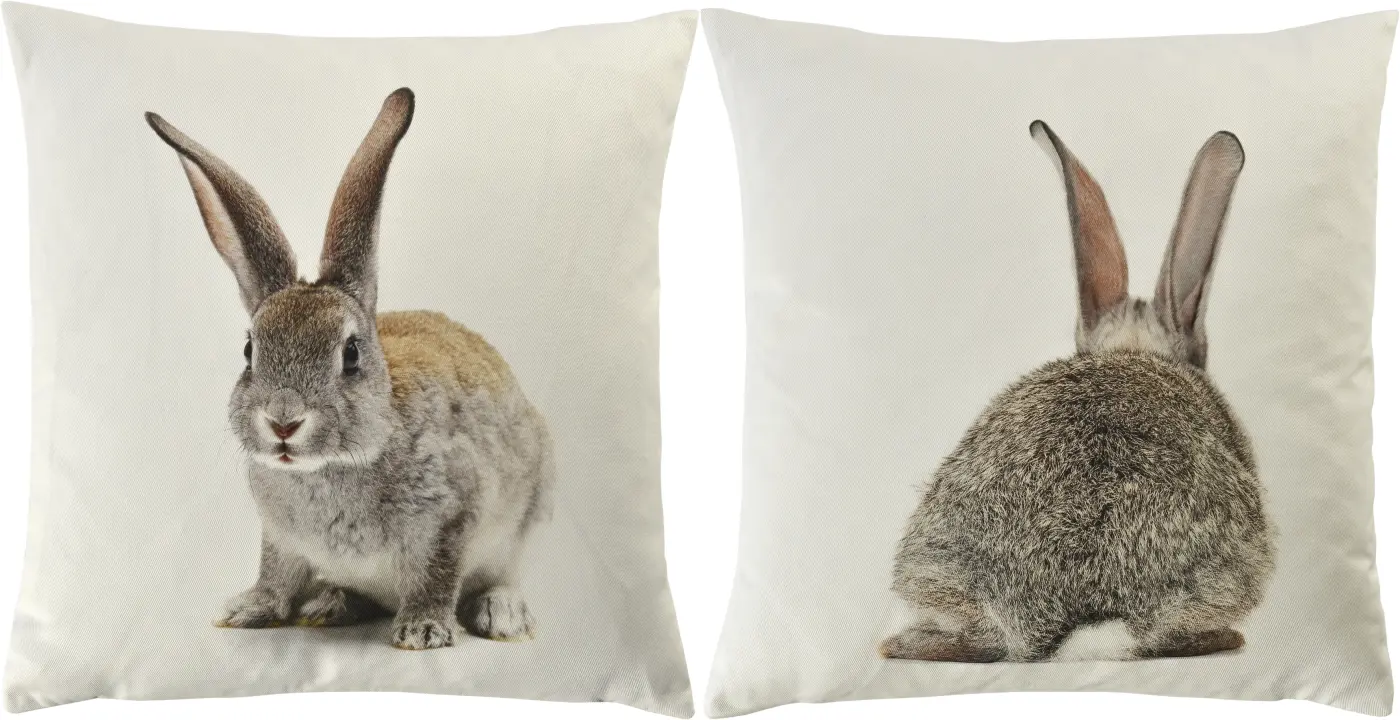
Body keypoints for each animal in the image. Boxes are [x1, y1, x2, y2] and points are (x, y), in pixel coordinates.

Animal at [146, 88, 554, 650]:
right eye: (250, 351)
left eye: (352, 354)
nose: (283, 421)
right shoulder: (280, 538)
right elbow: (275, 573)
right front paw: (247, 609)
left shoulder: (452, 518)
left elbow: (437, 576)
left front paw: (423, 631)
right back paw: (330, 603)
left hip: (529, 513)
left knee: (506, 574)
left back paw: (501, 614)